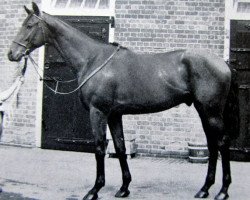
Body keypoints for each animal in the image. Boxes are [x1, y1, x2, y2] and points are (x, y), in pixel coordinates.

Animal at [6, 3, 239, 200]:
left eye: (29, 26)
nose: (11, 54)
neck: (93, 59)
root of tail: (223, 63)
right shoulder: (114, 114)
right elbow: (119, 147)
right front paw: (124, 188)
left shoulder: (98, 112)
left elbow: (100, 148)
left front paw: (94, 190)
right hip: (203, 110)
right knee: (212, 145)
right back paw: (204, 189)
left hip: (211, 112)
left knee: (222, 143)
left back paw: (223, 191)